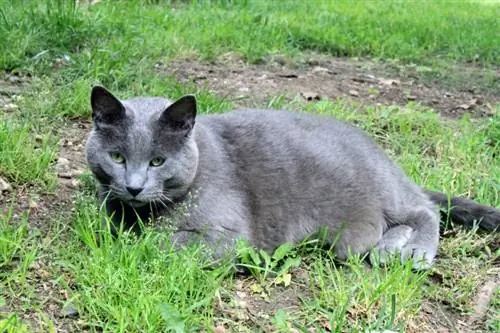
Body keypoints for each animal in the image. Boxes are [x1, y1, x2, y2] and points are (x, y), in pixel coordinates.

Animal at [84, 85, 498, 268]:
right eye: (117, 157)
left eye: (158, 161)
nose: (134, 187)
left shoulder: (226, 234)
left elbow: (163, 242)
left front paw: (138, 240)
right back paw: (390, 246)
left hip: (381, 192)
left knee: (426, 209)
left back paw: (411, 252)